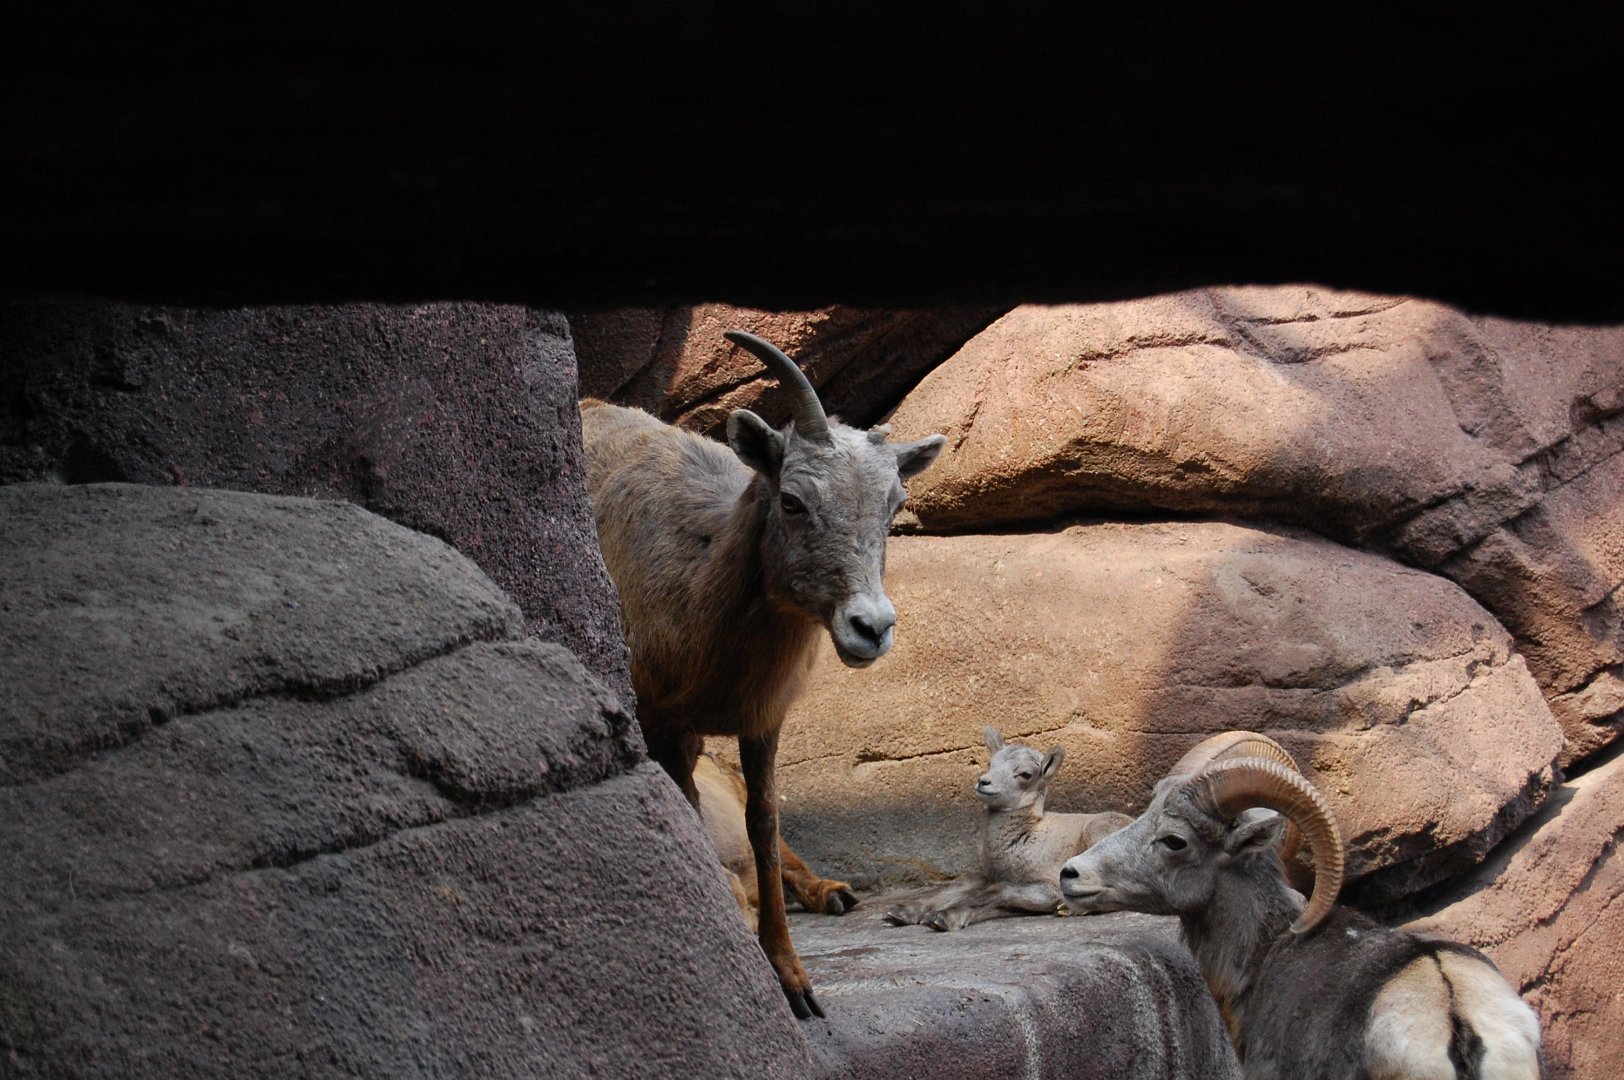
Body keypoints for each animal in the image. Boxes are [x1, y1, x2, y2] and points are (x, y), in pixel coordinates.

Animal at [883, 726, 1132, 931]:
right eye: (990, 764)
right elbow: (960, 889)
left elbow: (997, 891)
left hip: (1097, 831)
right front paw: (901, 913)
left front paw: (942, 917)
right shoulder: (989, 878)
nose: (984, 782)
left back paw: (1069, 909)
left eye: (1026, 774)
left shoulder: (1047, 886)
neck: (1025, 837)